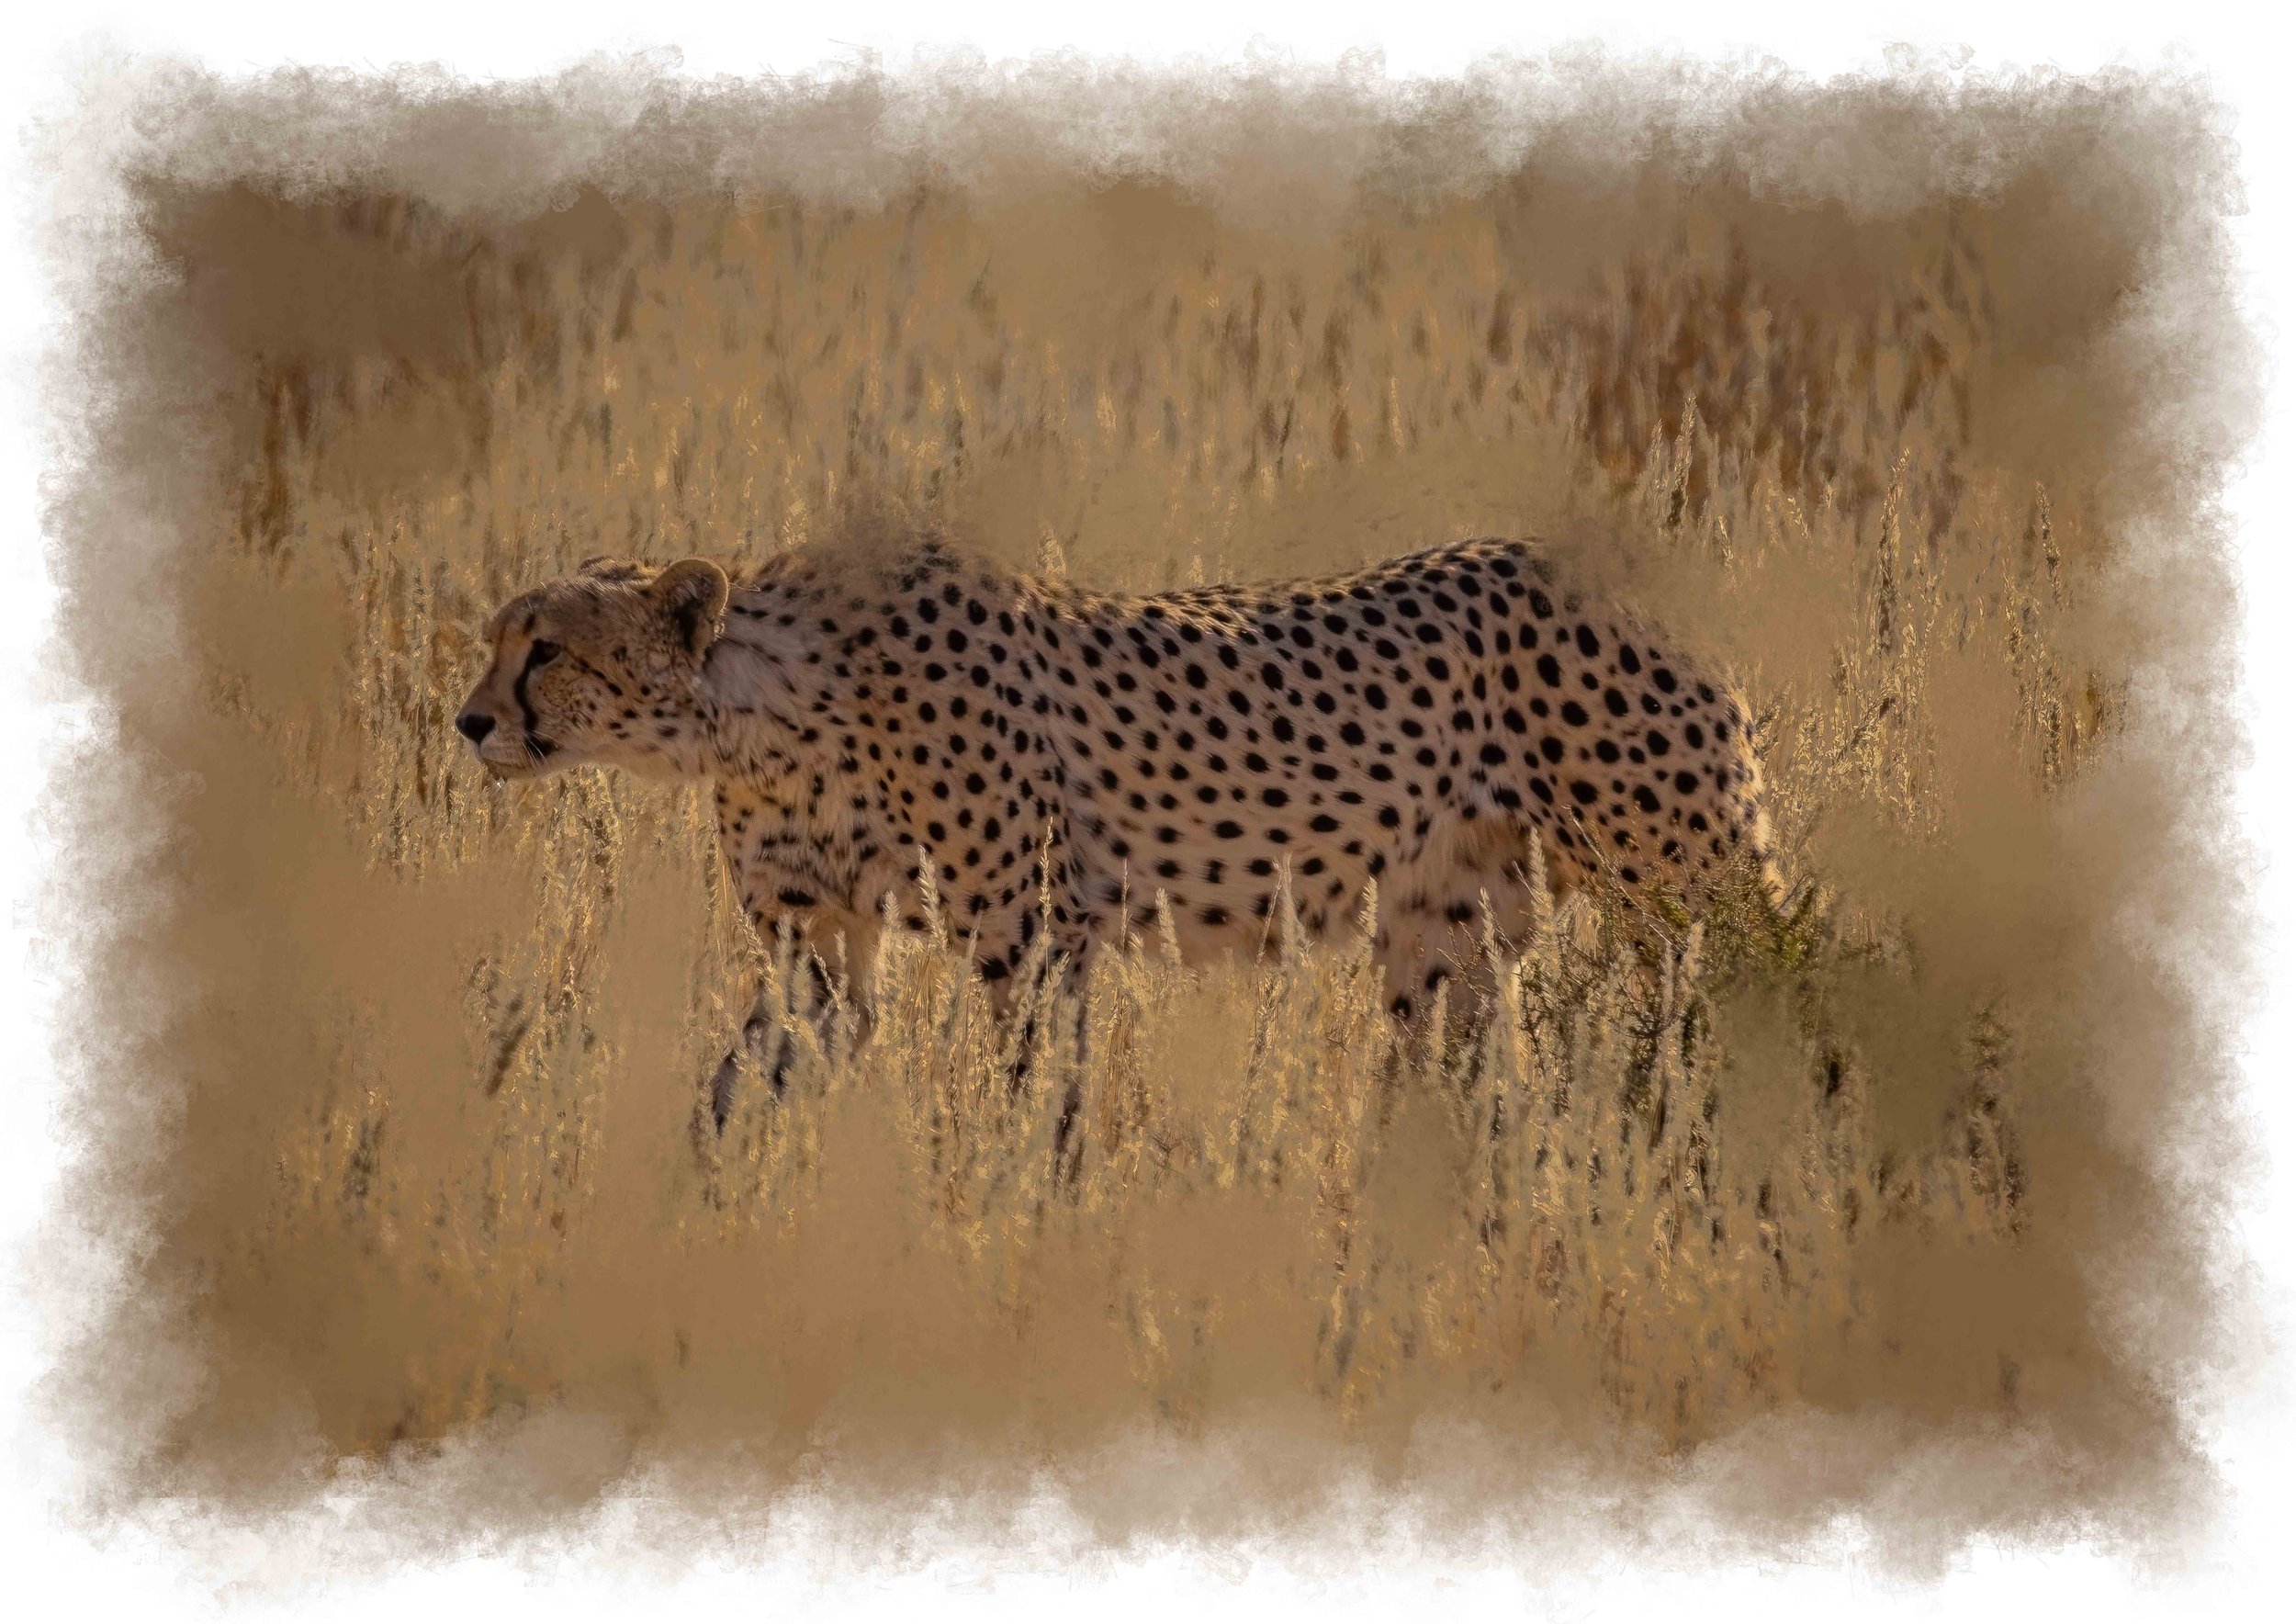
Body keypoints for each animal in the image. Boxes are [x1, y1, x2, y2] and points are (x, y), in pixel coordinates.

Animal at [455, 535, 1782, 1128]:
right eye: (499, 637)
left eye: (549, 649)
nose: (468, 722)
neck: (768, 708)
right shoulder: (816, 953)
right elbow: (743, 1078)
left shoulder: (1030, 935)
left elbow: (1037, 1095)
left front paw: (1014, 1215)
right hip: (1443, 927)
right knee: (1462, 1068)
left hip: (1680, 879)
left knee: (1759, 1000)